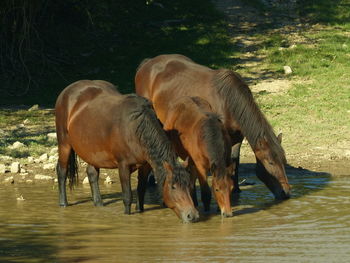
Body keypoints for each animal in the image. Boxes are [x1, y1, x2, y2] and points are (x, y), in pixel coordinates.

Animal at [56, 80, 201, 223]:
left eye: (189, 185)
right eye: (173, 187)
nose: (192, 215)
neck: (136, 128)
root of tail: (68, 90)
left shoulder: (145, 165)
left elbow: (141, 190)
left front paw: (140, 212)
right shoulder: (123, 166)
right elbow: (127, 196)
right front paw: (127, 216)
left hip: (92, 151)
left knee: (92, 173)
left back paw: (98, 204)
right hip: (64, 143)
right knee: (62, 171)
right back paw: (63, 203)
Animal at [135, 54, 292, 201]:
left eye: (284, 160)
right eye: (270, 162)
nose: (285, 193)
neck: (228, 101)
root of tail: (147, 63)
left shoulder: (237, 137)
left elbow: (235, 160)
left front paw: (236, 189)